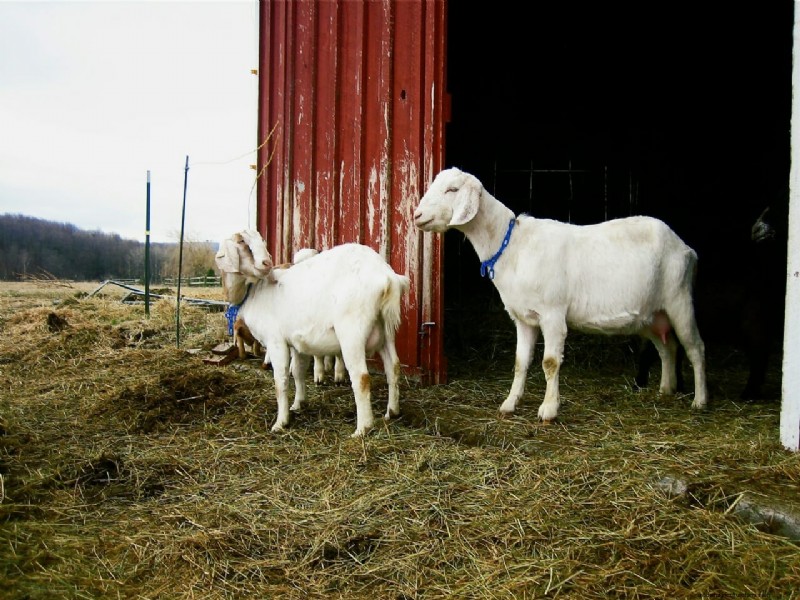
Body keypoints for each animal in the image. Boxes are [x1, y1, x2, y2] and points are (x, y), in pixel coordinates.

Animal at [215, 229, 410, 437]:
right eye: (242, 241)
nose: (266, 263)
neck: (254, 292)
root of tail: (387, 276)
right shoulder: (295, 343)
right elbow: (297, 372)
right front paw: (298, 404)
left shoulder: (276, 341)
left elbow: (280, 381)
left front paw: (281, 422)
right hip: (386, 331)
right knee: (393, 367)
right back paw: (392, 412)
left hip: (352, 332)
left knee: (361, 377)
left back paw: (362, 429)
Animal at [413, 167, 708, 422]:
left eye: (452, 189)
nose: (416, 215)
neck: (513, 246)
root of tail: (686, 248)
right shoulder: (523, 318)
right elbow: (520, 362)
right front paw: (509, 403)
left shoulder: (552, 313)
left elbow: (550, 362)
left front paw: (549, 410)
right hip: (651, 313)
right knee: (667, 346)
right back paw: (666, 390)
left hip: (679, 299)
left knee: (695, 347)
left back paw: (700, 400)